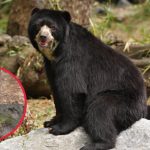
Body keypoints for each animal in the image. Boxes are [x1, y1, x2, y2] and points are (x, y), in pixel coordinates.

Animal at [27, 8, 148, 150]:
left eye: (52, 27)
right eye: (38, 25)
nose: (43, 37)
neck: (56, 52)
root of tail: (143, 107)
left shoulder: (73, 60)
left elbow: (72, 90)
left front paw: (59, 129)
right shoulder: (50, 66)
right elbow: (56, 90)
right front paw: (50, 122)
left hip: (123, 100)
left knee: (100, 111)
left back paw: (96, 144)